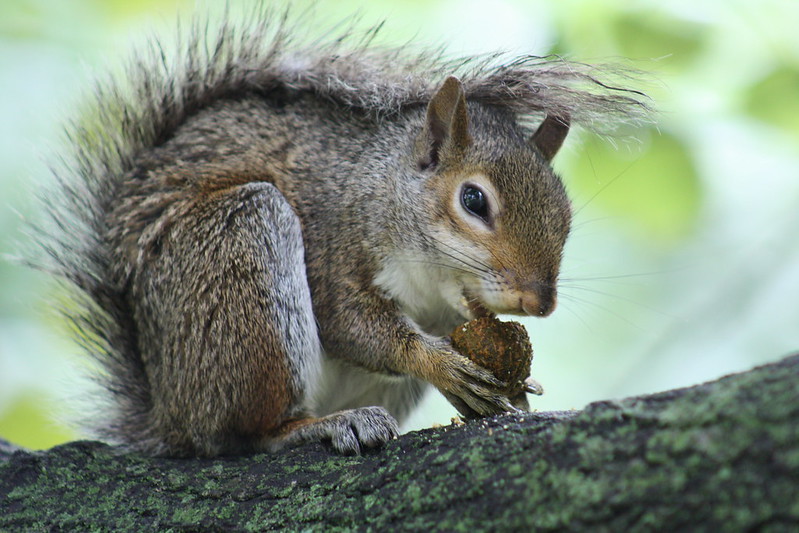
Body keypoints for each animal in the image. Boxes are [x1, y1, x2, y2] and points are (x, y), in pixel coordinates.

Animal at [40, 9, 647, 456]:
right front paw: (442, 363)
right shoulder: (333, 244)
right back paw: (318, 426)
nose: (539, 302)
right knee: (243, 436)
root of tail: (169, 412)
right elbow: (352, 324)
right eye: (474, 200)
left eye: (565, 213)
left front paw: (516, 389)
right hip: (242, 258)